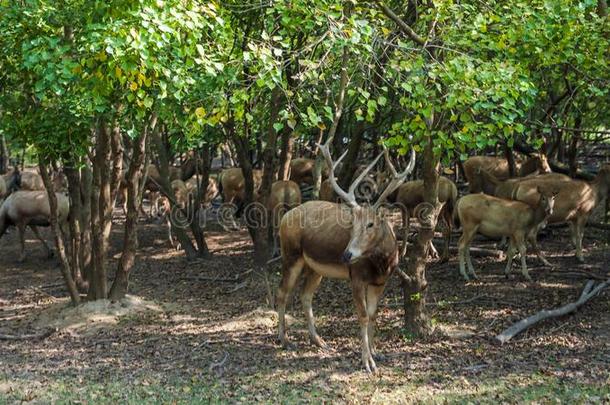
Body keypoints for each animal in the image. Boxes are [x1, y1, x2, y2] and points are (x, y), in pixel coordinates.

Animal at [276, 140, 416, 370]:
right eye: (353, 225)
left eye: (370, 224)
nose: (347, 255)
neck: (383, 262)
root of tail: (284, 218)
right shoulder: (356, 277)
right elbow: (363, 315)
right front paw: (367, 361)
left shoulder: (381, 281)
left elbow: (373, 314)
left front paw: (376, 352)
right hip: (290, 254)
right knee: (282, 292)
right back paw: (284, 340)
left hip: (314, 267)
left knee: (305, 295)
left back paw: (319, 340)